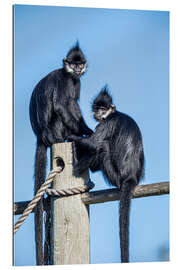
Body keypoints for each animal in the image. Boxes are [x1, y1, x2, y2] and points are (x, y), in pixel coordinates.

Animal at [29, 42, 93, 266]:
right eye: (72, 64)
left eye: (80, 64)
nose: (77, 69)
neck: (69, 74)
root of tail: (41, 136)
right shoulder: (66, 80)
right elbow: (62, 105)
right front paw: (89, 132)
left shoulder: (76, 80)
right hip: (55, 129)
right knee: (64, 107)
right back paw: (74, 135)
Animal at [68, 88, 145, 264]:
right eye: (97, 108)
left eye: (103, 109)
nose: (98, 113)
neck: (113, 114)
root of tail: (131, 177)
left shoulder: (106, 122)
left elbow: (94, 144)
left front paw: (73, 137)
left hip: (114, 175)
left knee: (103, 147)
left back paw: (77, 162)